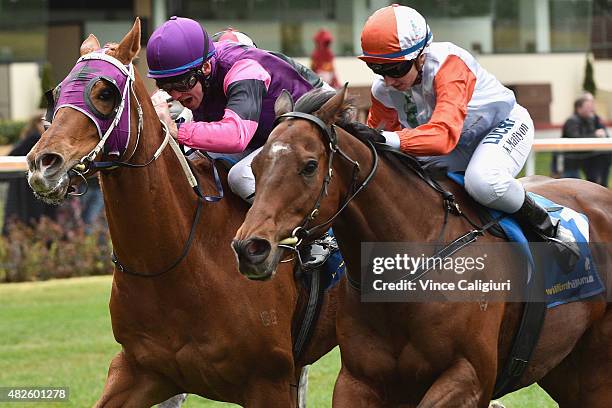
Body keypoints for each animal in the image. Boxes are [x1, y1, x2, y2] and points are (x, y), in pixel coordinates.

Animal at [26, 19, 340, 408]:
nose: (43, 164)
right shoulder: (141, 369)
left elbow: (237, 128)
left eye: (104, 94)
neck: (179, 261)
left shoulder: (270, 380)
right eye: (55, 95)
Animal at [234, 84, 612, 406]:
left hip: (596, 371)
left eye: (309, 166)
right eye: (256, 164)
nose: (250, 248)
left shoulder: (470, 375)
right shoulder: (358, 381)